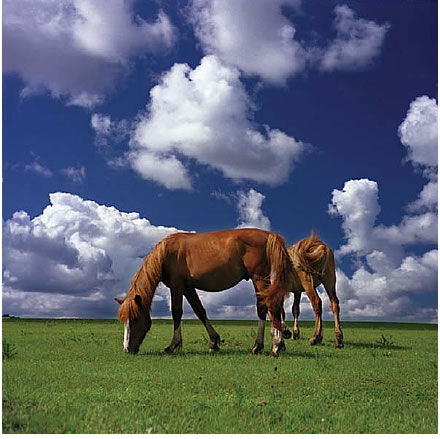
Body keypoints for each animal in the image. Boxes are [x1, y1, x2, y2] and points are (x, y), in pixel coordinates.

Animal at [116, 230, 296, 358]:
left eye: (134, 319)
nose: (127, 349)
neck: (167, 253)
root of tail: (268, 235)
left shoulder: (177, 286)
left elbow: (176, 313)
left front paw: (173, 346)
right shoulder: (188, 288)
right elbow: (200, 311)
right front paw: (214, 342)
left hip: (259, 278)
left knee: (271, 306)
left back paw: (275, 346)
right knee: (263, 307)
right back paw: (259, 346)